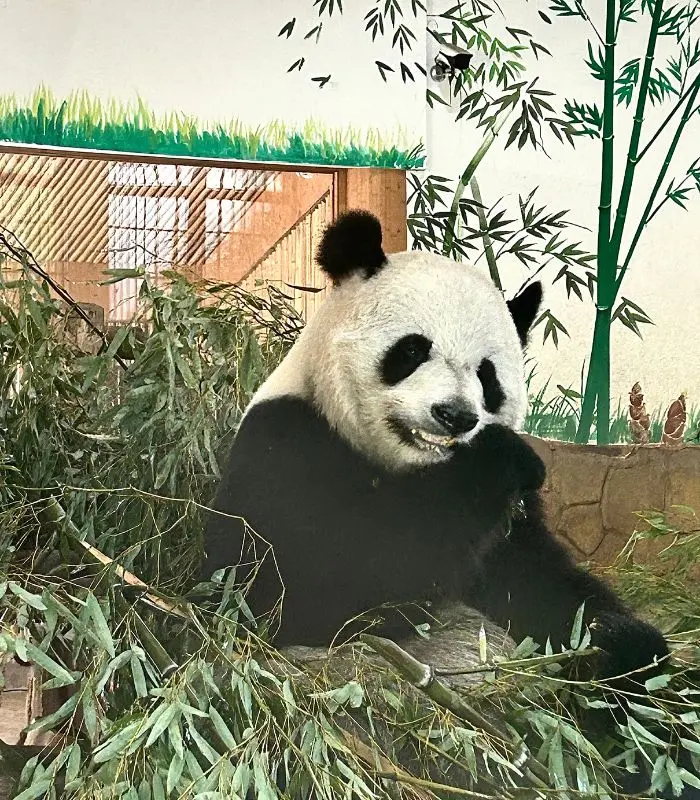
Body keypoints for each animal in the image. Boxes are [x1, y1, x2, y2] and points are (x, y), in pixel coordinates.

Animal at [201, 209, 668, 684]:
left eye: (487, 375)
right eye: (412, 350)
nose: (455, 415)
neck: (414, 471)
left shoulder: (506, 523)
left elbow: (538, 581)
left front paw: (621, 646)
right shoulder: (284, 447)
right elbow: (299, 587)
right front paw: (502, 456)